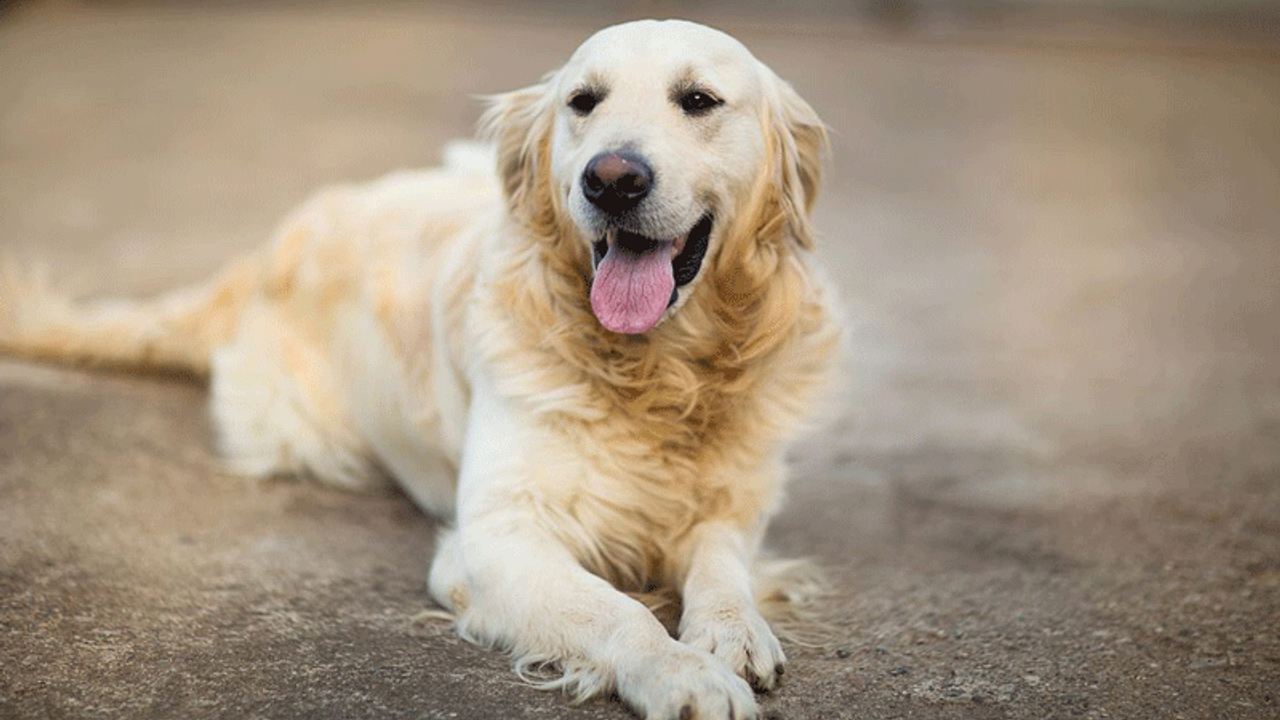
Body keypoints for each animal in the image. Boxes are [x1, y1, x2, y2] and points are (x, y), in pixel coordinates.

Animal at [0, 19, 844, 717]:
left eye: (699, 100)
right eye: (584, 101)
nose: (611, 179)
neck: (660, 373)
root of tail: (270, 244)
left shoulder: (735, 502)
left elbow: (721, 562)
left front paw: (729, 632)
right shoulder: (495, 536)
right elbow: (617, 611)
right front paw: (680, 675)